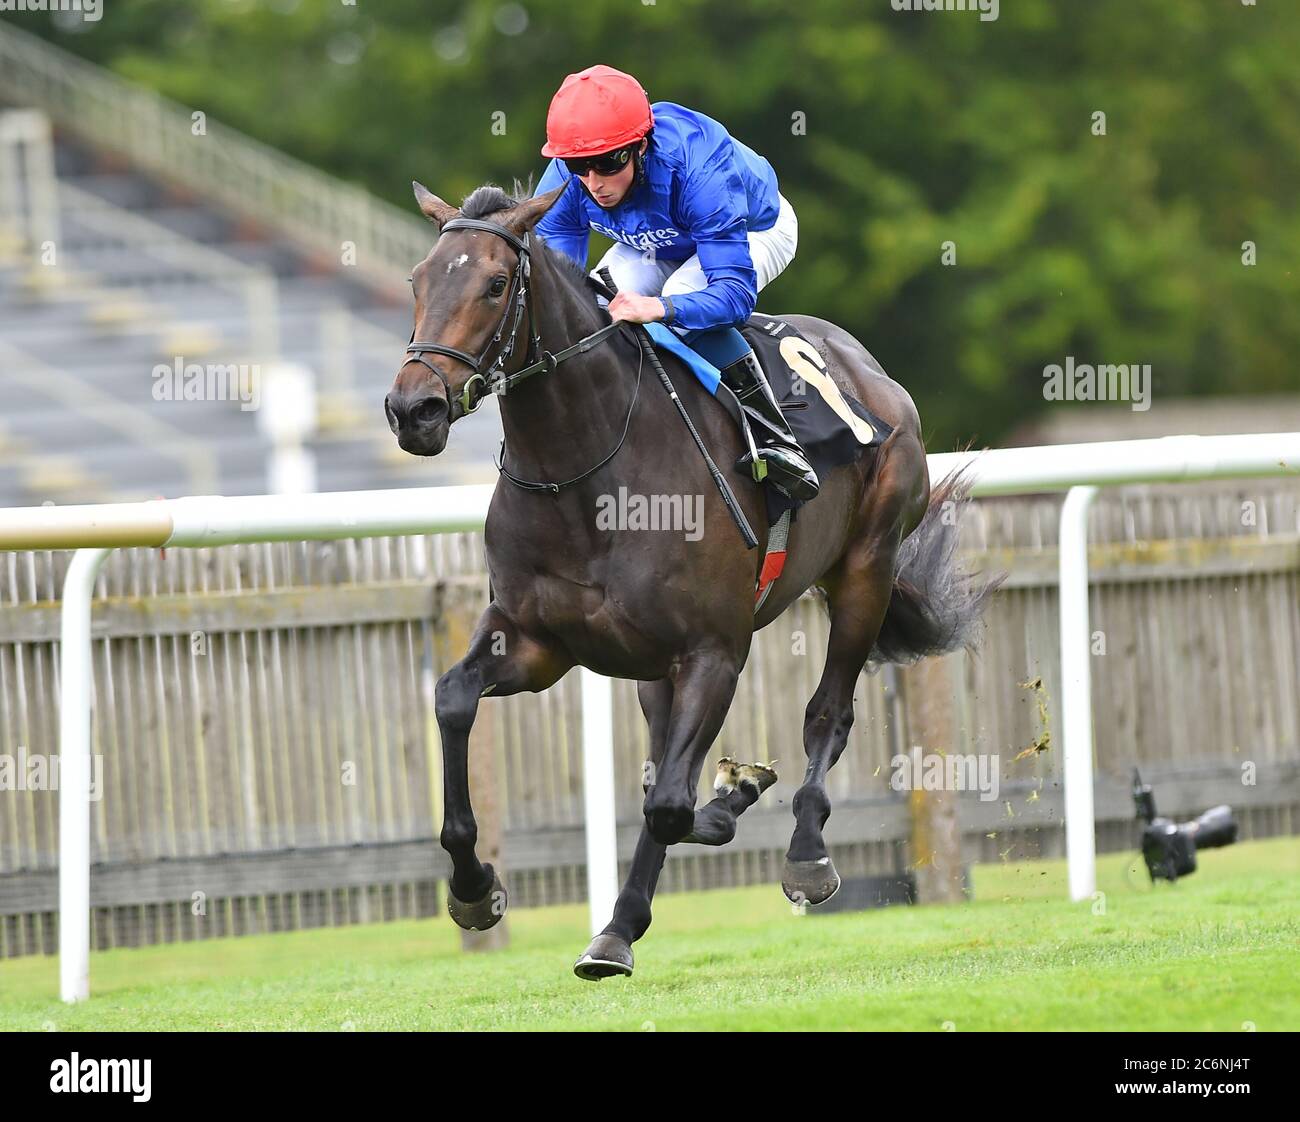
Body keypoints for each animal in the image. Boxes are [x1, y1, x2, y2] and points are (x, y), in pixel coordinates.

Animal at [384, 179, 993, 977]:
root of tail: (868, 370)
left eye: (492, 285)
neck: (584, 475)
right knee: (664, 762)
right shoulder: (536, 641)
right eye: (418, 280)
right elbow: (455, 699)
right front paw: (474, 888)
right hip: (655, 668)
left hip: (866, 569)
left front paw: (646, 895)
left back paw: (803, 853)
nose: (412, 409)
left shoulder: (713, 652)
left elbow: (670, 802)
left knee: (825, 716)